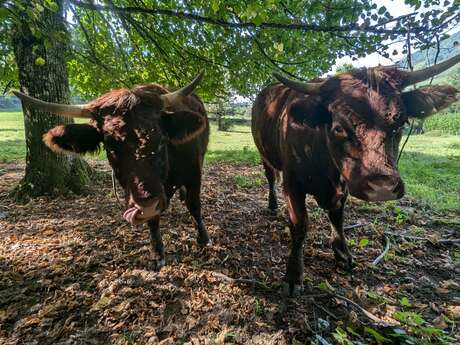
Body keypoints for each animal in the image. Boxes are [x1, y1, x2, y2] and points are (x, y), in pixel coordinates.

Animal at [14, 72, 210, 266]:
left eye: (162, 140)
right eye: (110, 146)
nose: (146, 205)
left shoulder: (194, 174)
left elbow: (194, 205)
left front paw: (203, 239)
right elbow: (153, 221)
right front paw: (157, 253)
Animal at [252, 55, 460, 294]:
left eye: (402, 123)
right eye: (338, 127)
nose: (382, 186)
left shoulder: (342, 187)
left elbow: (338, 219)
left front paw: (343, 254)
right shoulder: (293, 184)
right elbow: (300, 225)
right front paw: (294, 276)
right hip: (264, 154)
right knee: (270, 178)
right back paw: (272, 204)